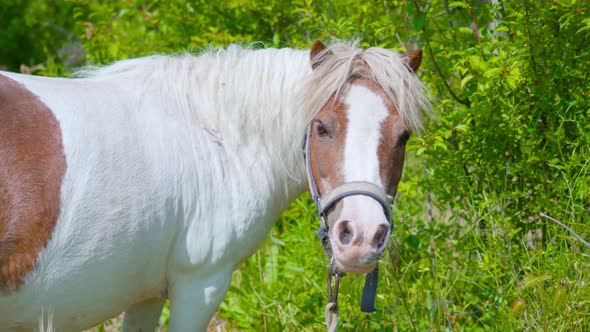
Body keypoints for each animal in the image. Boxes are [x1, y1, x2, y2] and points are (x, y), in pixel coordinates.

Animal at [1, 40, 434, 330]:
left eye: (403, 137)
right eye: (322, 128)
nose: (361, 236)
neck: (216, 138)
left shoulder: (145, 295)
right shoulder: (201, 286)